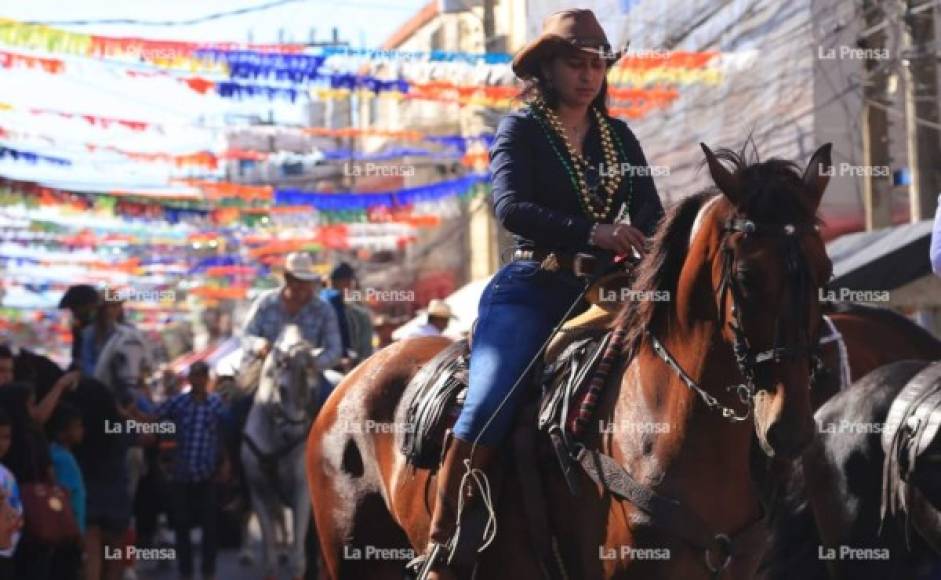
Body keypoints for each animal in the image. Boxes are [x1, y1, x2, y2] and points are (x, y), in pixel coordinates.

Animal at [242, 326, 324, 580]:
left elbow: (299, 561)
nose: (296, 433)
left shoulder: (303, 494)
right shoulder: (259, 493)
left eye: (312, 389)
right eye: (282, 389)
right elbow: (269, 560)